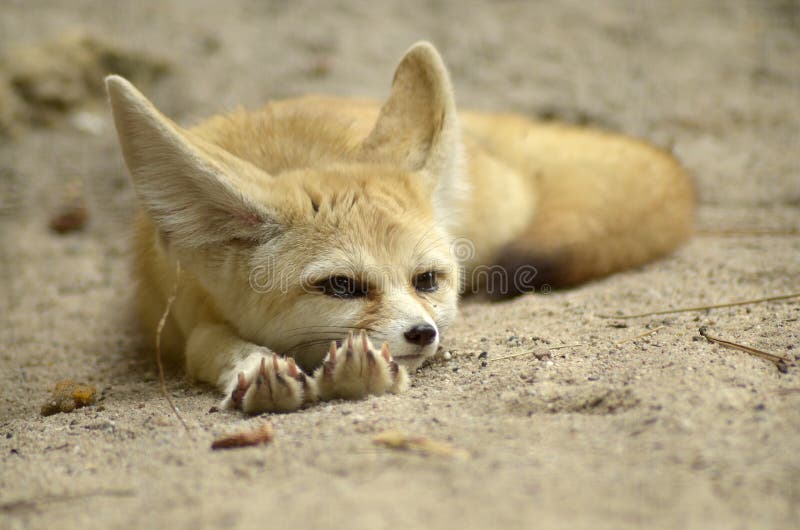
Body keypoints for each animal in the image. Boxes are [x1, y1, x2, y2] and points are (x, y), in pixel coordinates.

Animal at [106, 41, 692, 412]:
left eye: (426, 280)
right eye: (341, 286)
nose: (422, 332)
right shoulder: (185, 312)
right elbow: (209, 344)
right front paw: (256, 369)